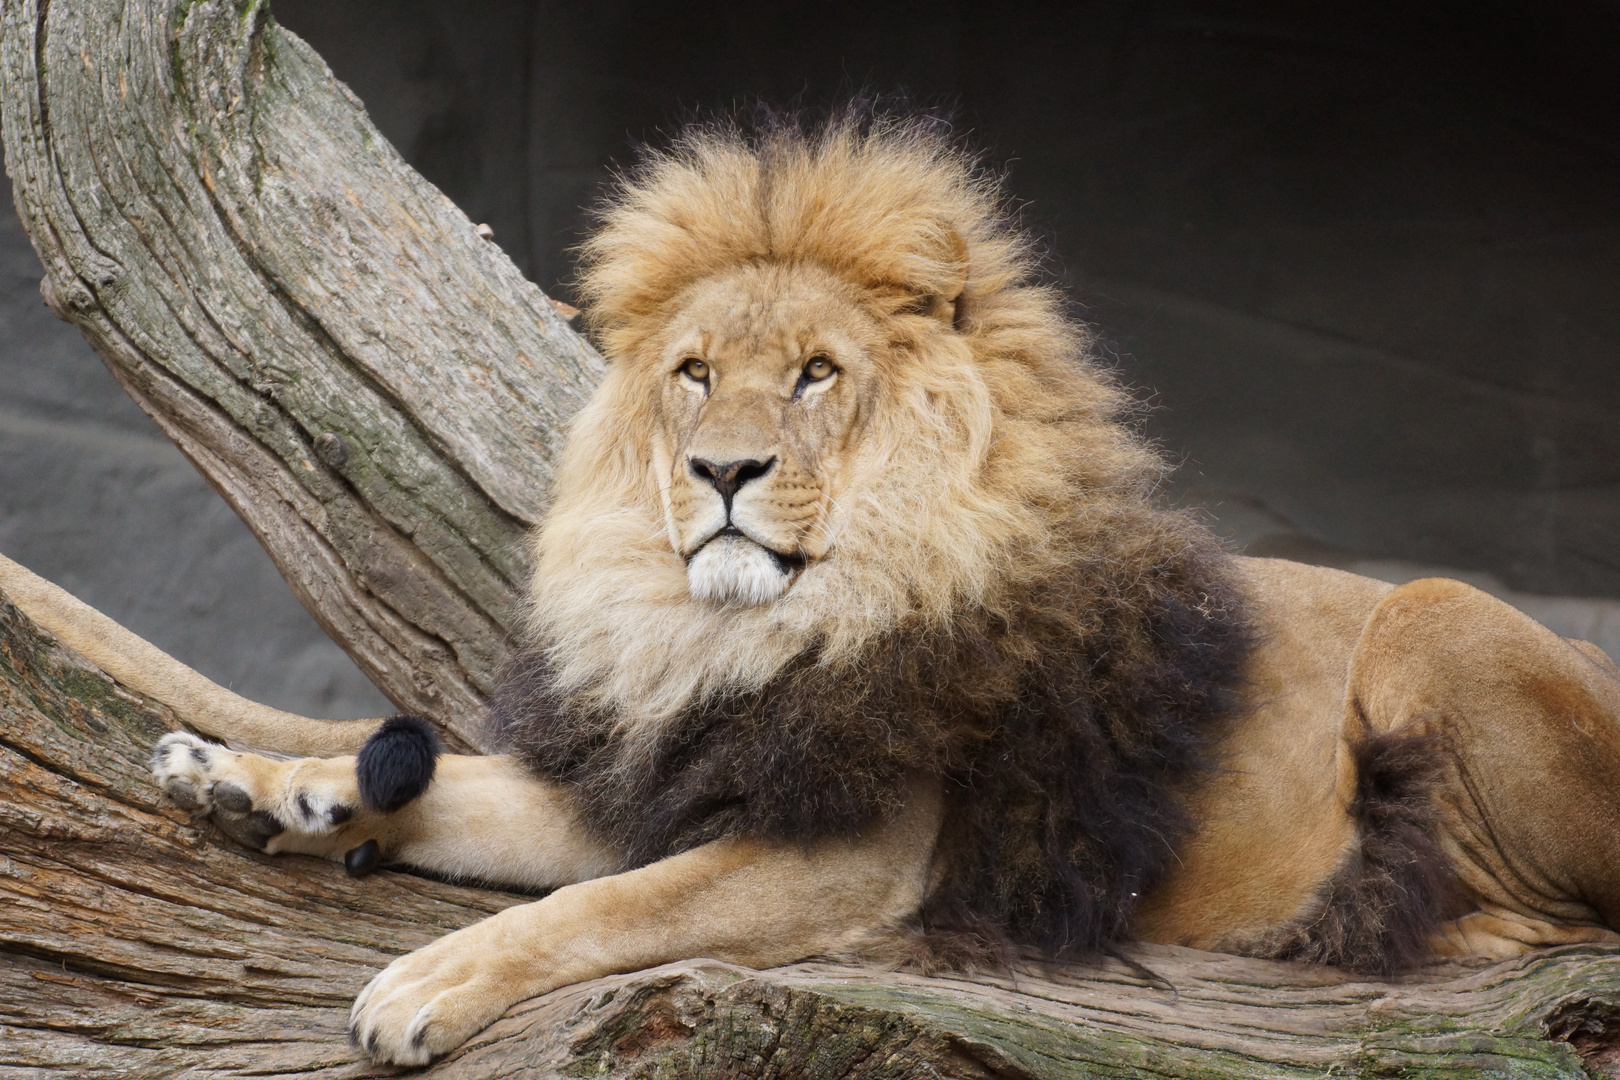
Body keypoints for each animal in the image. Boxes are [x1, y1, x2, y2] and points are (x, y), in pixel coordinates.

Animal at [3, 114, 1620, 1068]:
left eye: (818, 375)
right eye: (693, 373)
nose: (721, 469)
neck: (738, 631)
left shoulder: (846, 858)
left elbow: (602, 911)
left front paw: (421, 986)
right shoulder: (654, 778)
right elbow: (476, 797)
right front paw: (258, 780)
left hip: (1429, 613)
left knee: (1552, 929)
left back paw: (1355, 923)